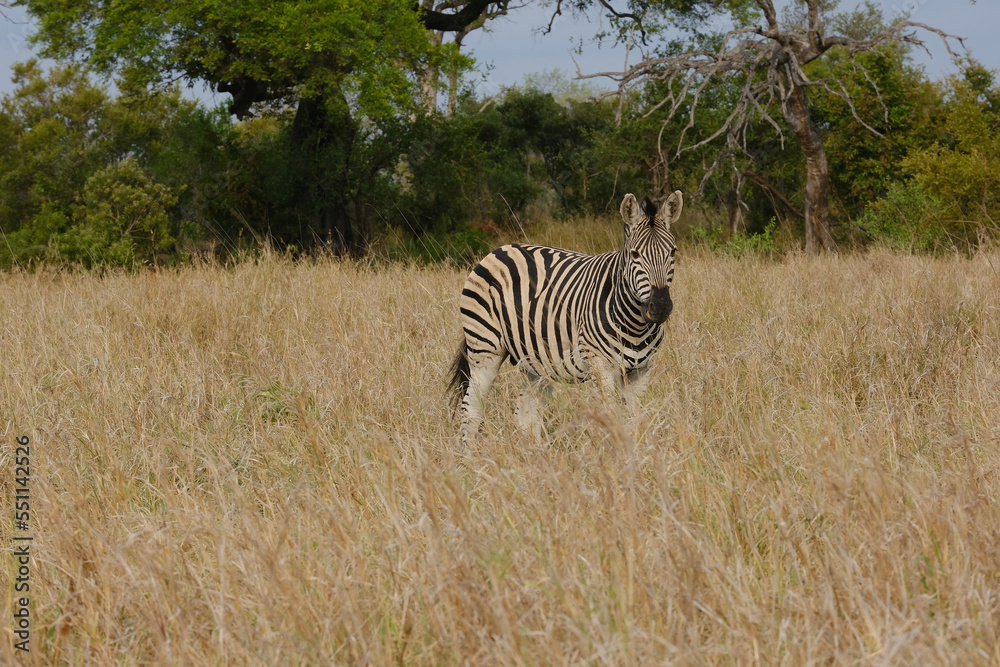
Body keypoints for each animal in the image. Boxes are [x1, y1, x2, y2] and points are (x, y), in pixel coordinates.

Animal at [448, 191, 681, 442]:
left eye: (673, 252)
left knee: (526, 416)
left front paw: (638, 449)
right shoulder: (600, 366)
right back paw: (470, 452)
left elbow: (635, 421)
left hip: (534, 361)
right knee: (471, 409)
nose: (660, 307)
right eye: (635, 254)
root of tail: (499, 249)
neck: (635, 325)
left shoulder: (642, 370)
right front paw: (615, 450)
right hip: (485, 348)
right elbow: (612, 418)